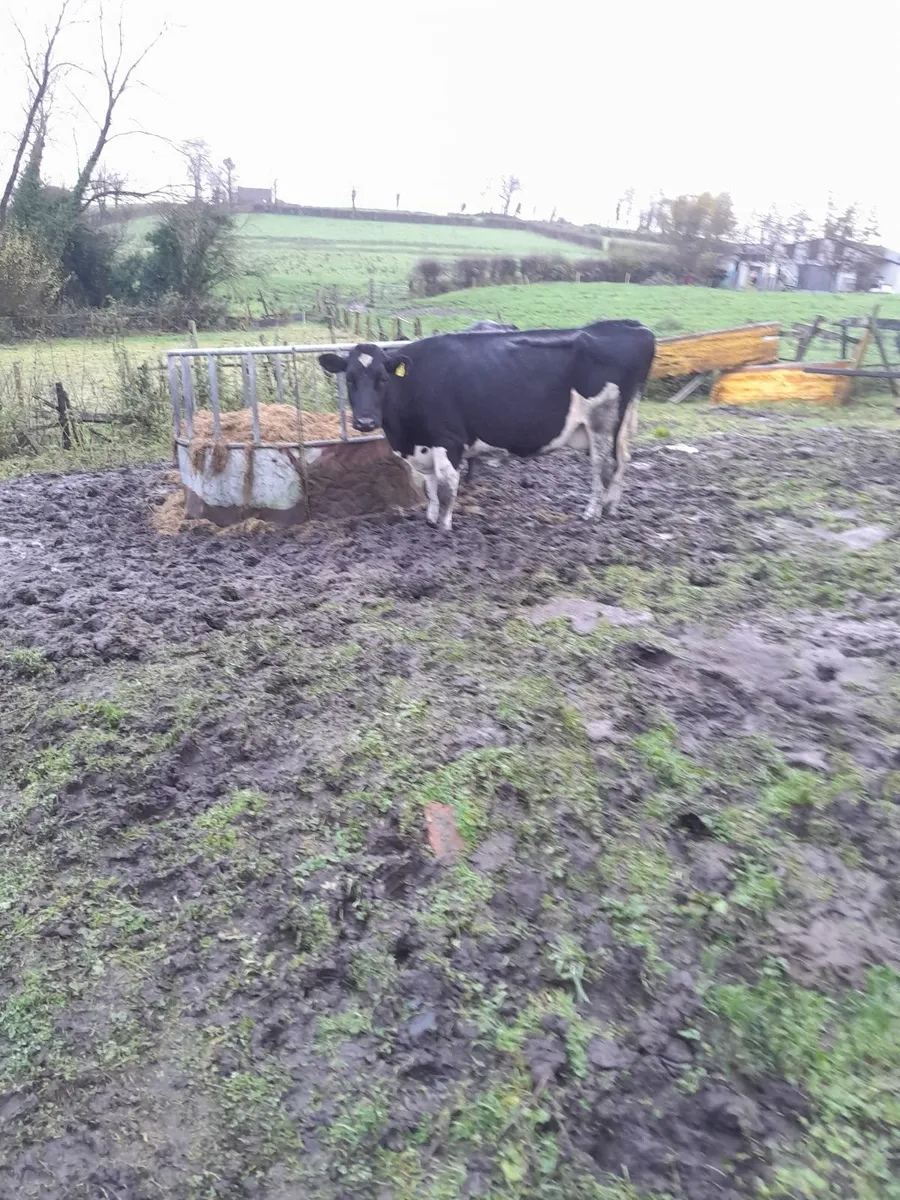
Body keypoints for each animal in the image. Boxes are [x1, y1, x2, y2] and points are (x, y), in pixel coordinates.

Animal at [318, 319, 655, 531]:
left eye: (383, 379)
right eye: (349, 379)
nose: (364, 421)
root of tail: (632, 326)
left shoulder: (448, 440)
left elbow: (446, 488)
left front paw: (444, 527)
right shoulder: (424, 446)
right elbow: (429, 487)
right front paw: (430, 519)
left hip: (602, 421)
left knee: (604, 465)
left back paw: (592, 513)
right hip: (622, 422)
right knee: (622, 460)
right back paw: (611, 507)